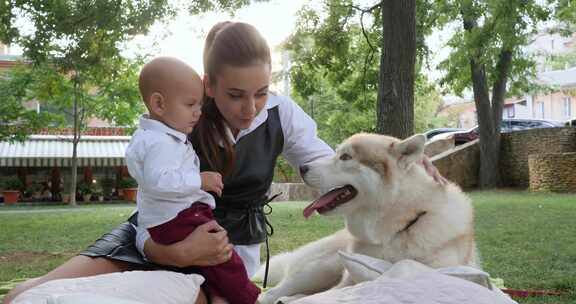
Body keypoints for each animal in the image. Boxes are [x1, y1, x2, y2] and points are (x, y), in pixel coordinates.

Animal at [255, 134, 476, 304]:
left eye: (345, 157)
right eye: (337, 153)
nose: (302, 167)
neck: (393, 232)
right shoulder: (347, 280)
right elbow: (325, 295)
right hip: (319, 268)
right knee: (270, 294)